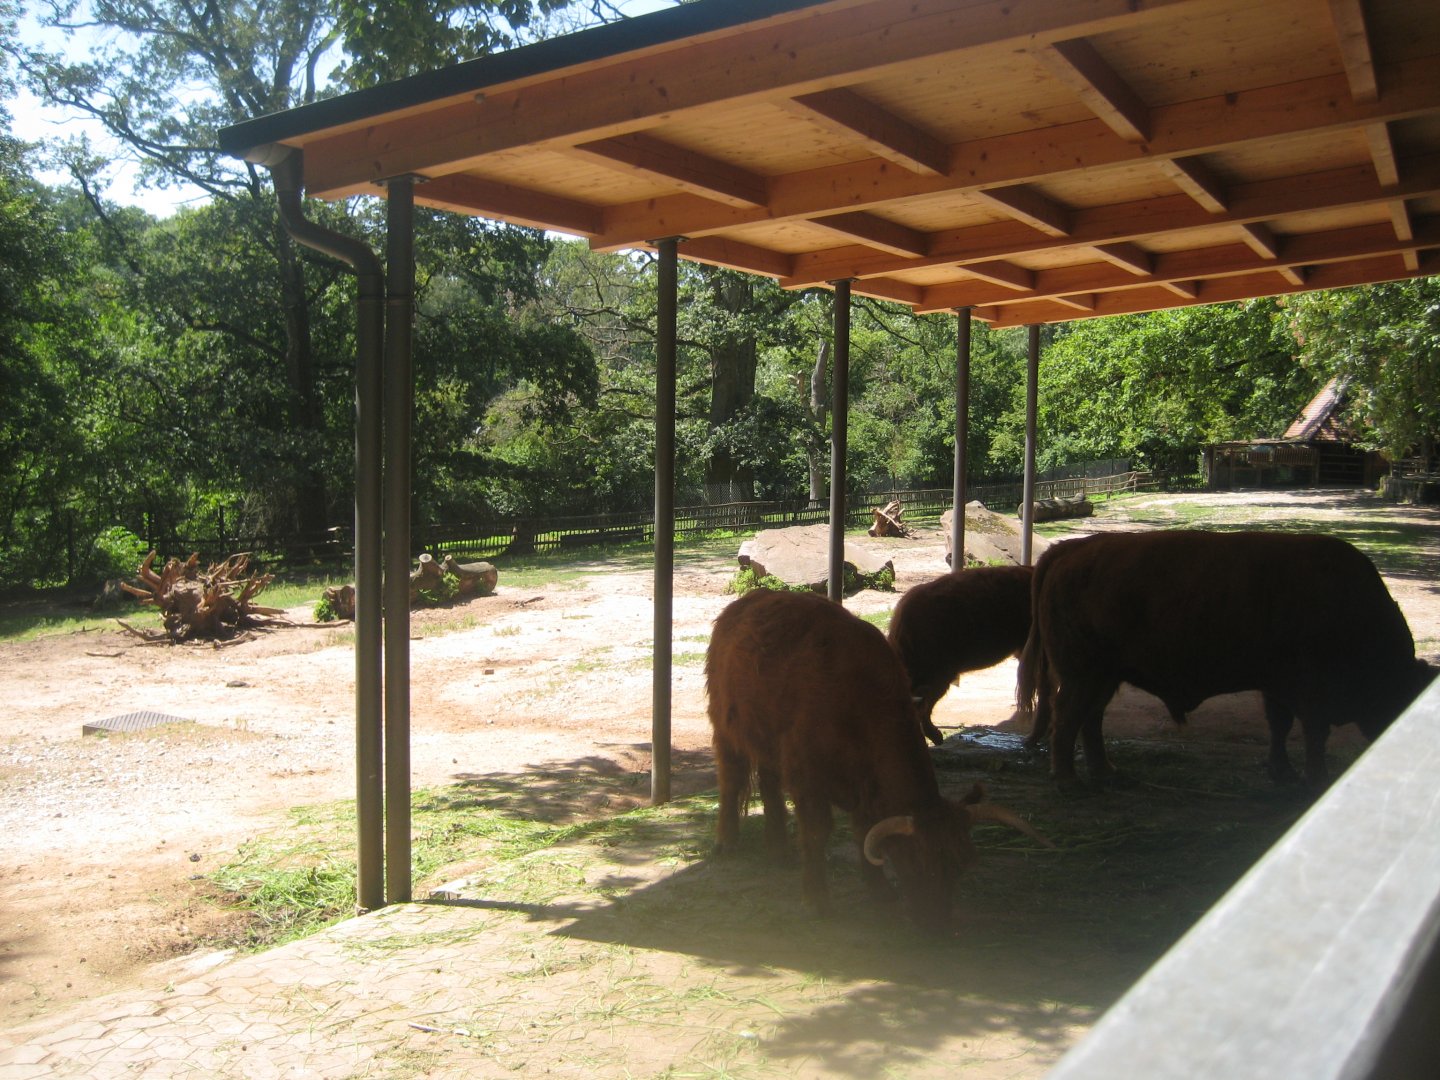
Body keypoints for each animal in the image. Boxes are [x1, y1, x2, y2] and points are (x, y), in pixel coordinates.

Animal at [706, 587, 1049, 933]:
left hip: (766, 743)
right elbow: (817, 832)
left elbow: (864, 833)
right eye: (917, 861)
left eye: (961, 864)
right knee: (731, 780)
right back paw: (726, 842)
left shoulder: (864, 787)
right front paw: (816, 899)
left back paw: (779, 850)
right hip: (726, 728)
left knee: (769, 786)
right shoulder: (807, 778)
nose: (937, 927)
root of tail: (745, 603)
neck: (857, 704)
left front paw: (879, 889)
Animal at [1019, 530, 1434, 791]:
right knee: (1068, 715)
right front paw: (1314, 779)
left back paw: (1106, 773)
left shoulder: (1277, 686)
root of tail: (1069, 549)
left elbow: (1281, 726)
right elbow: (1313, 734)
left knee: (1090, 718)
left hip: (1105, 675)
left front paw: (1282, 772)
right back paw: (1069, 781)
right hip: (1084, 674)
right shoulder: (1308, 691)